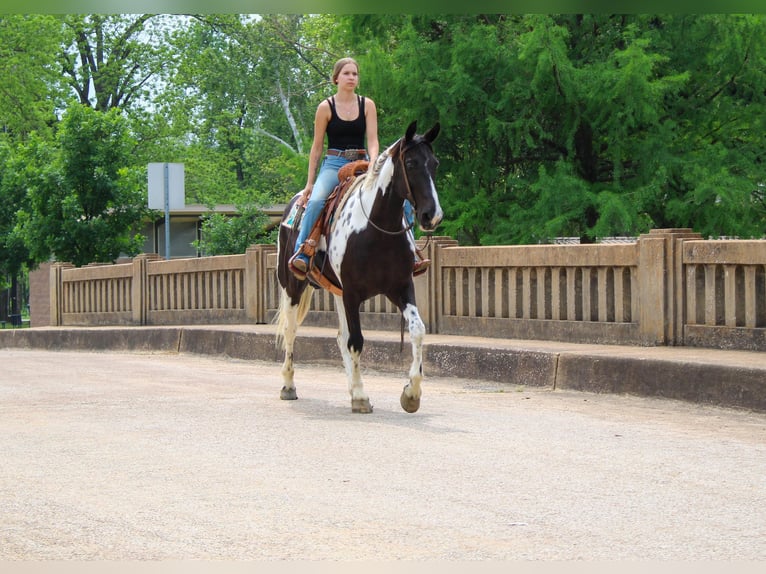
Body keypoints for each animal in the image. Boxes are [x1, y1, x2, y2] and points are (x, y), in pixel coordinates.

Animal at [276, 121, 444, 416]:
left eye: (434, 163)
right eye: (410, 162)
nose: (432, 215)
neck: (376, 229)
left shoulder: (401, 287)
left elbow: (417, 330)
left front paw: (411, 394)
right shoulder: (353, 293)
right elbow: (356, 341)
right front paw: (362, 397)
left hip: (337, 292)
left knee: (340, 336)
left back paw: (352, 387)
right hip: (292, 285)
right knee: (291, 331)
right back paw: (288, 386)